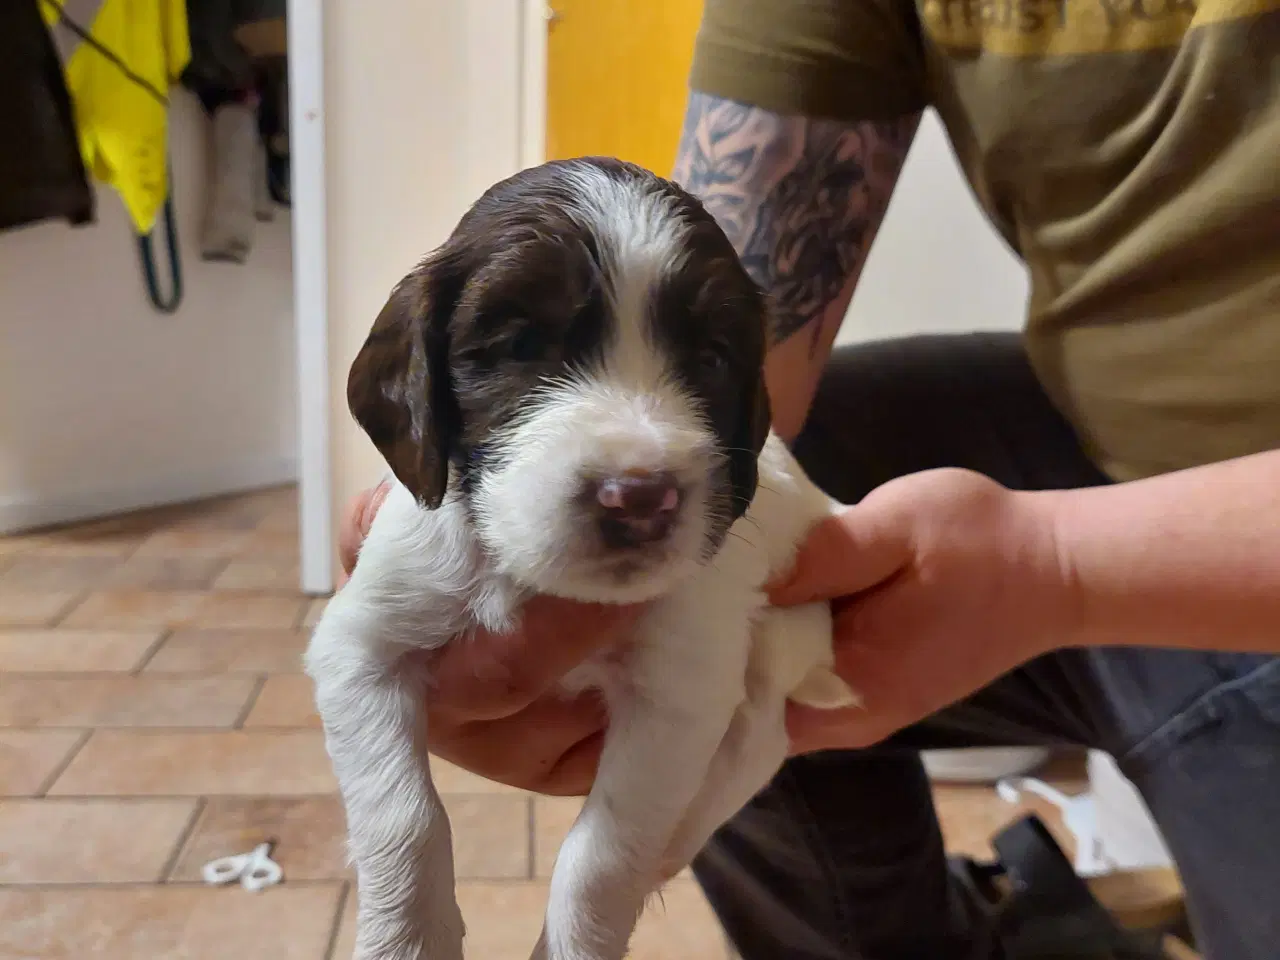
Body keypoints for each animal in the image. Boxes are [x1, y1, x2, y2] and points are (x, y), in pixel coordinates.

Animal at [303, 158, 855, 960]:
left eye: (712, 359)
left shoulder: (679, 692)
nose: (640, 499)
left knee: (757, 739)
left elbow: (603, 856)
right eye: (520, 345)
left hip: (780, 635)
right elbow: (404, 817)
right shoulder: (362, 645)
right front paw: (406, 941)